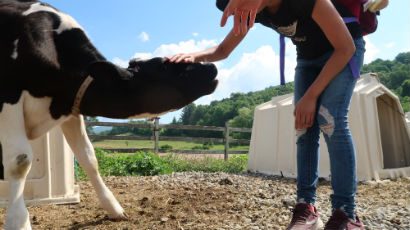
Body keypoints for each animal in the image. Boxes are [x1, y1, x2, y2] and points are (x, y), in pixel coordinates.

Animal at [0, 0, 219, 229]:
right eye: (164, 66)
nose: (211, 66)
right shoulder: (8, 97)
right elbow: (20, 160)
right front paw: (18, 221)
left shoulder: (71, 108)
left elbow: (88, 156)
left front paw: (113, 207)